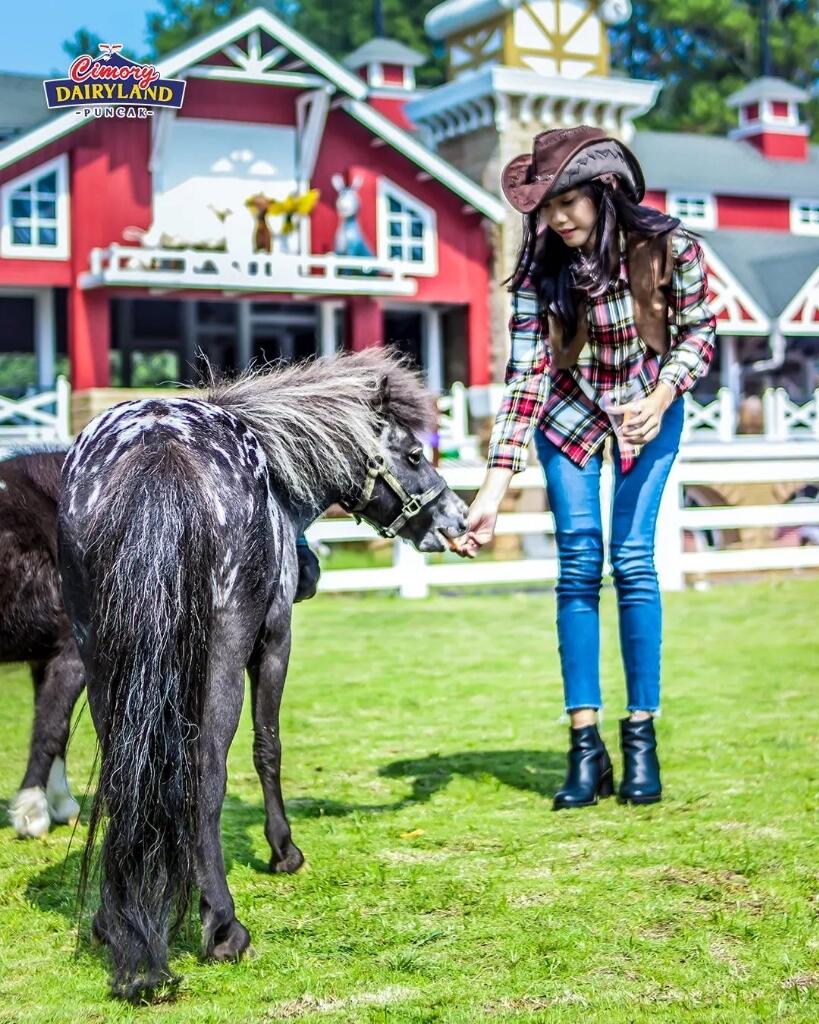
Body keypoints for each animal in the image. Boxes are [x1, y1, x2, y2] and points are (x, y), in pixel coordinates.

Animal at [57, 350, 466, 999]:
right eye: (413, 454)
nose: (457, 517)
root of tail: (157, 452)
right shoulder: (274, 644)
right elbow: (267, 748)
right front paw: (283, 850)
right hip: (222, 655)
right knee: (207, 773)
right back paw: (223, 924)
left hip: (101, 656)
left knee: (126, 770)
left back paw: (111, 920)